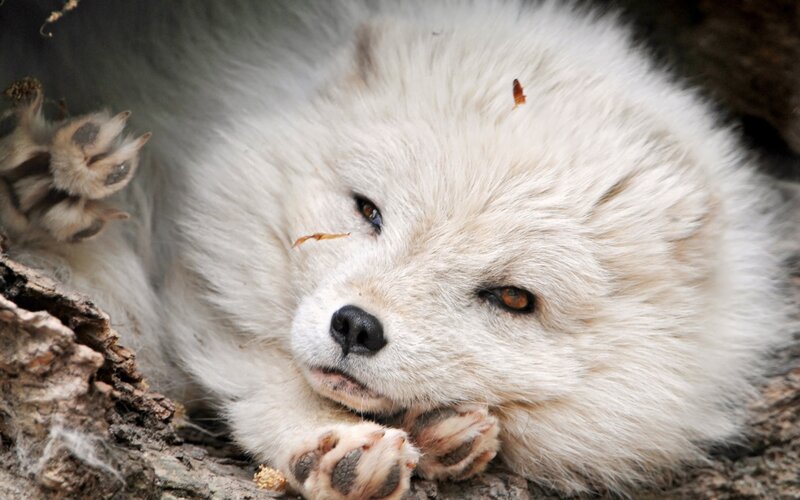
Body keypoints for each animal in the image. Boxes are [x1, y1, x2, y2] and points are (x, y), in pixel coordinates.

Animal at [0, 0, 792, 497]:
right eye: (368, 211)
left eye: (513, 298)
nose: (355, 326)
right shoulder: (196, 273)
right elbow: (260, 370)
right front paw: (334, 447)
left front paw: (443, 435)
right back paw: (48, 175)